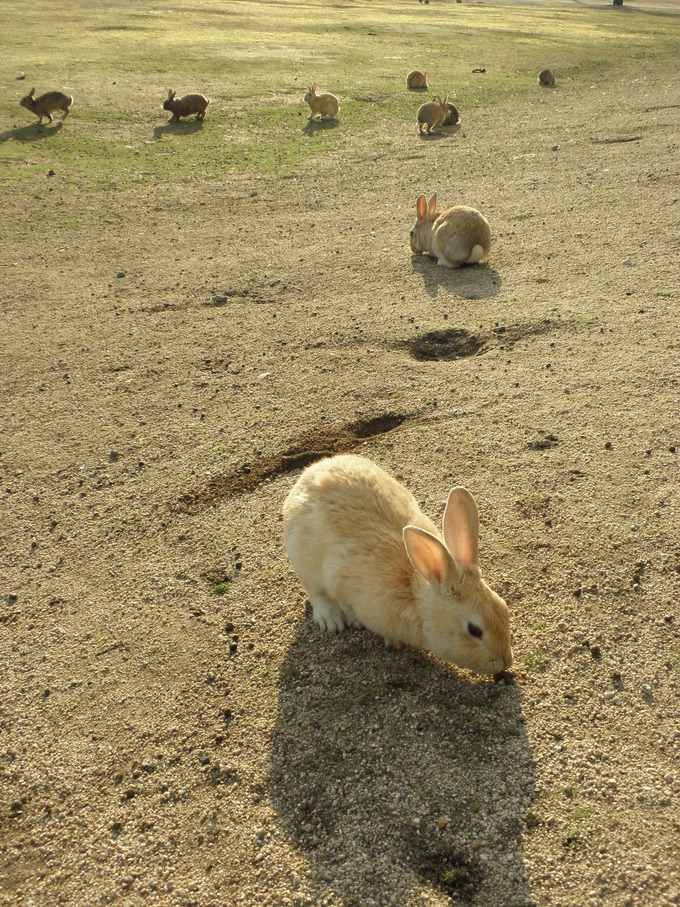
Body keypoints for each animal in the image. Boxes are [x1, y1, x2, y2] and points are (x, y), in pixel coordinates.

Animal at [280, 454, 510, 672]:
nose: (506, 662)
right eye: (474, 630)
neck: (414, 591)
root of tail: (307, 475)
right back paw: (333, 620)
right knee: (315, 593)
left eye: (503, 606)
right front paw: (391, 641)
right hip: (304, 562)